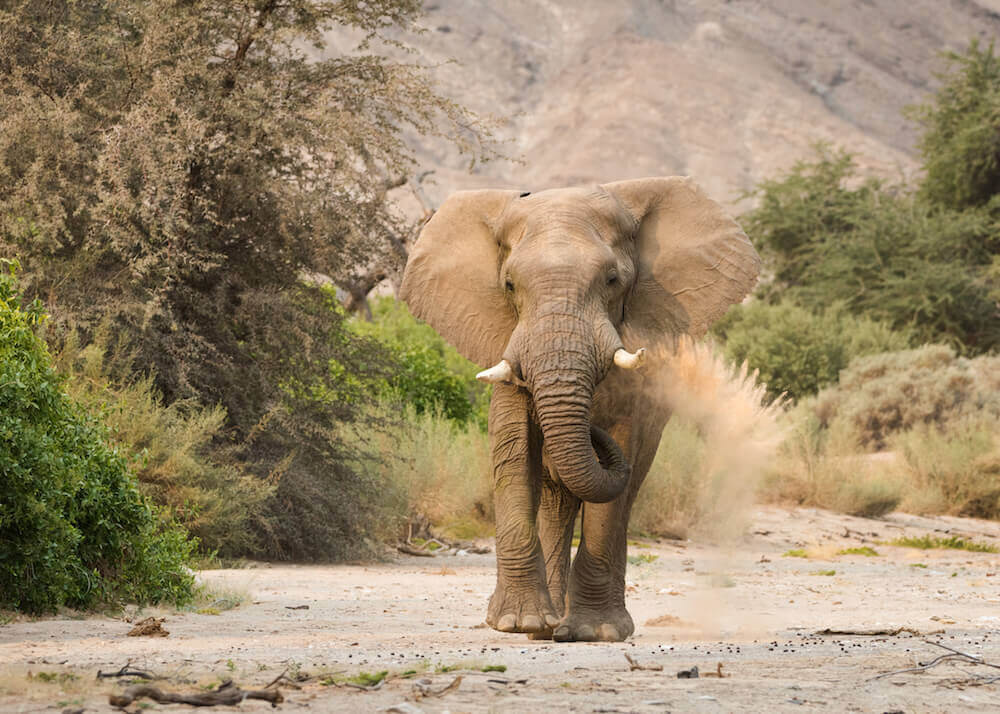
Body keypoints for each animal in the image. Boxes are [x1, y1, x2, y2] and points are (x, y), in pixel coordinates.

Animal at [399, 177, 760, 642]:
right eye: (509, 285)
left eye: (612, 279)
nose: (591, 430)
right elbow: (515, 450)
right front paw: (516, 623)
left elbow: (619, 456)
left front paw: (594, 631)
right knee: (556, 502)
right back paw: (546, 627)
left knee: (625, 491)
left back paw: (586, 627)